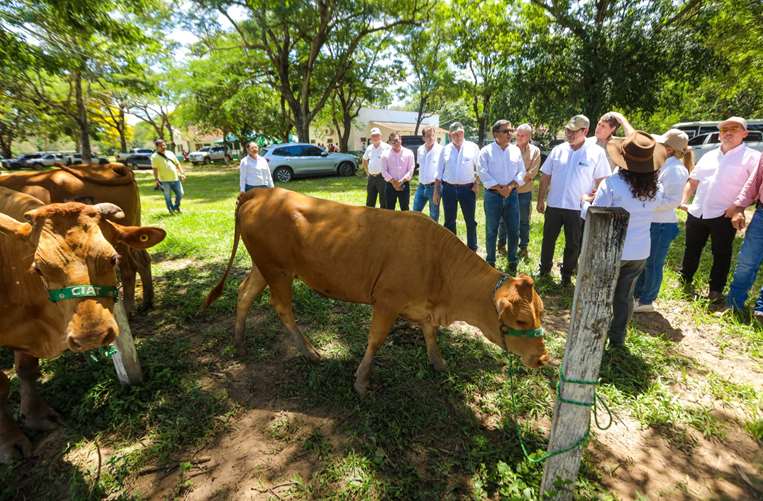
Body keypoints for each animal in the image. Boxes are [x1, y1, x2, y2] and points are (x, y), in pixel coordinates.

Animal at [0, 187, 166, 460]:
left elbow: (27, 369)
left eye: (112, 258)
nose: (91, 336)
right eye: (39, 269)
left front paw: (36, 416)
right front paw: (11, 442)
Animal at [206, 188, 548, 394]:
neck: (439, 264)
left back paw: (240, 342)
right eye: (520, 320)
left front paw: (438, 362)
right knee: (282, 307)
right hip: (277, 270)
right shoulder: (387, 301)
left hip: (263, 266)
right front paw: (361, 380)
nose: (543, 358)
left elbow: (430, 333)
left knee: (244, 294)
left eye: (540, 314)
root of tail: (263, 191)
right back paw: (309, 352)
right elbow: (376, 339)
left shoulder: (424, 307)